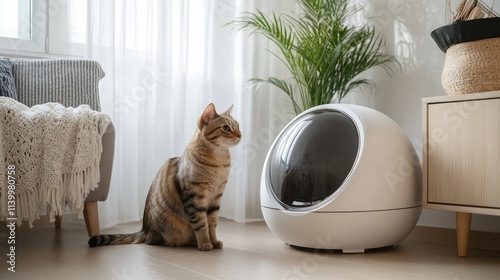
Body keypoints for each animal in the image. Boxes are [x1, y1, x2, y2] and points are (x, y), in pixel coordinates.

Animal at [88, 103, 242, 252]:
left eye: (238, 126)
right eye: (226, 128)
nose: (240, 135)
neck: (219, 163)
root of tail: (144, 230)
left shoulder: (216, 198)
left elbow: (212, 225)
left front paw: (214, 241)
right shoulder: (195, 199)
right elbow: (201, 225)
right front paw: (205, 243)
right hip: (165, 230)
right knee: (155, 241)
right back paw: (192, 242)